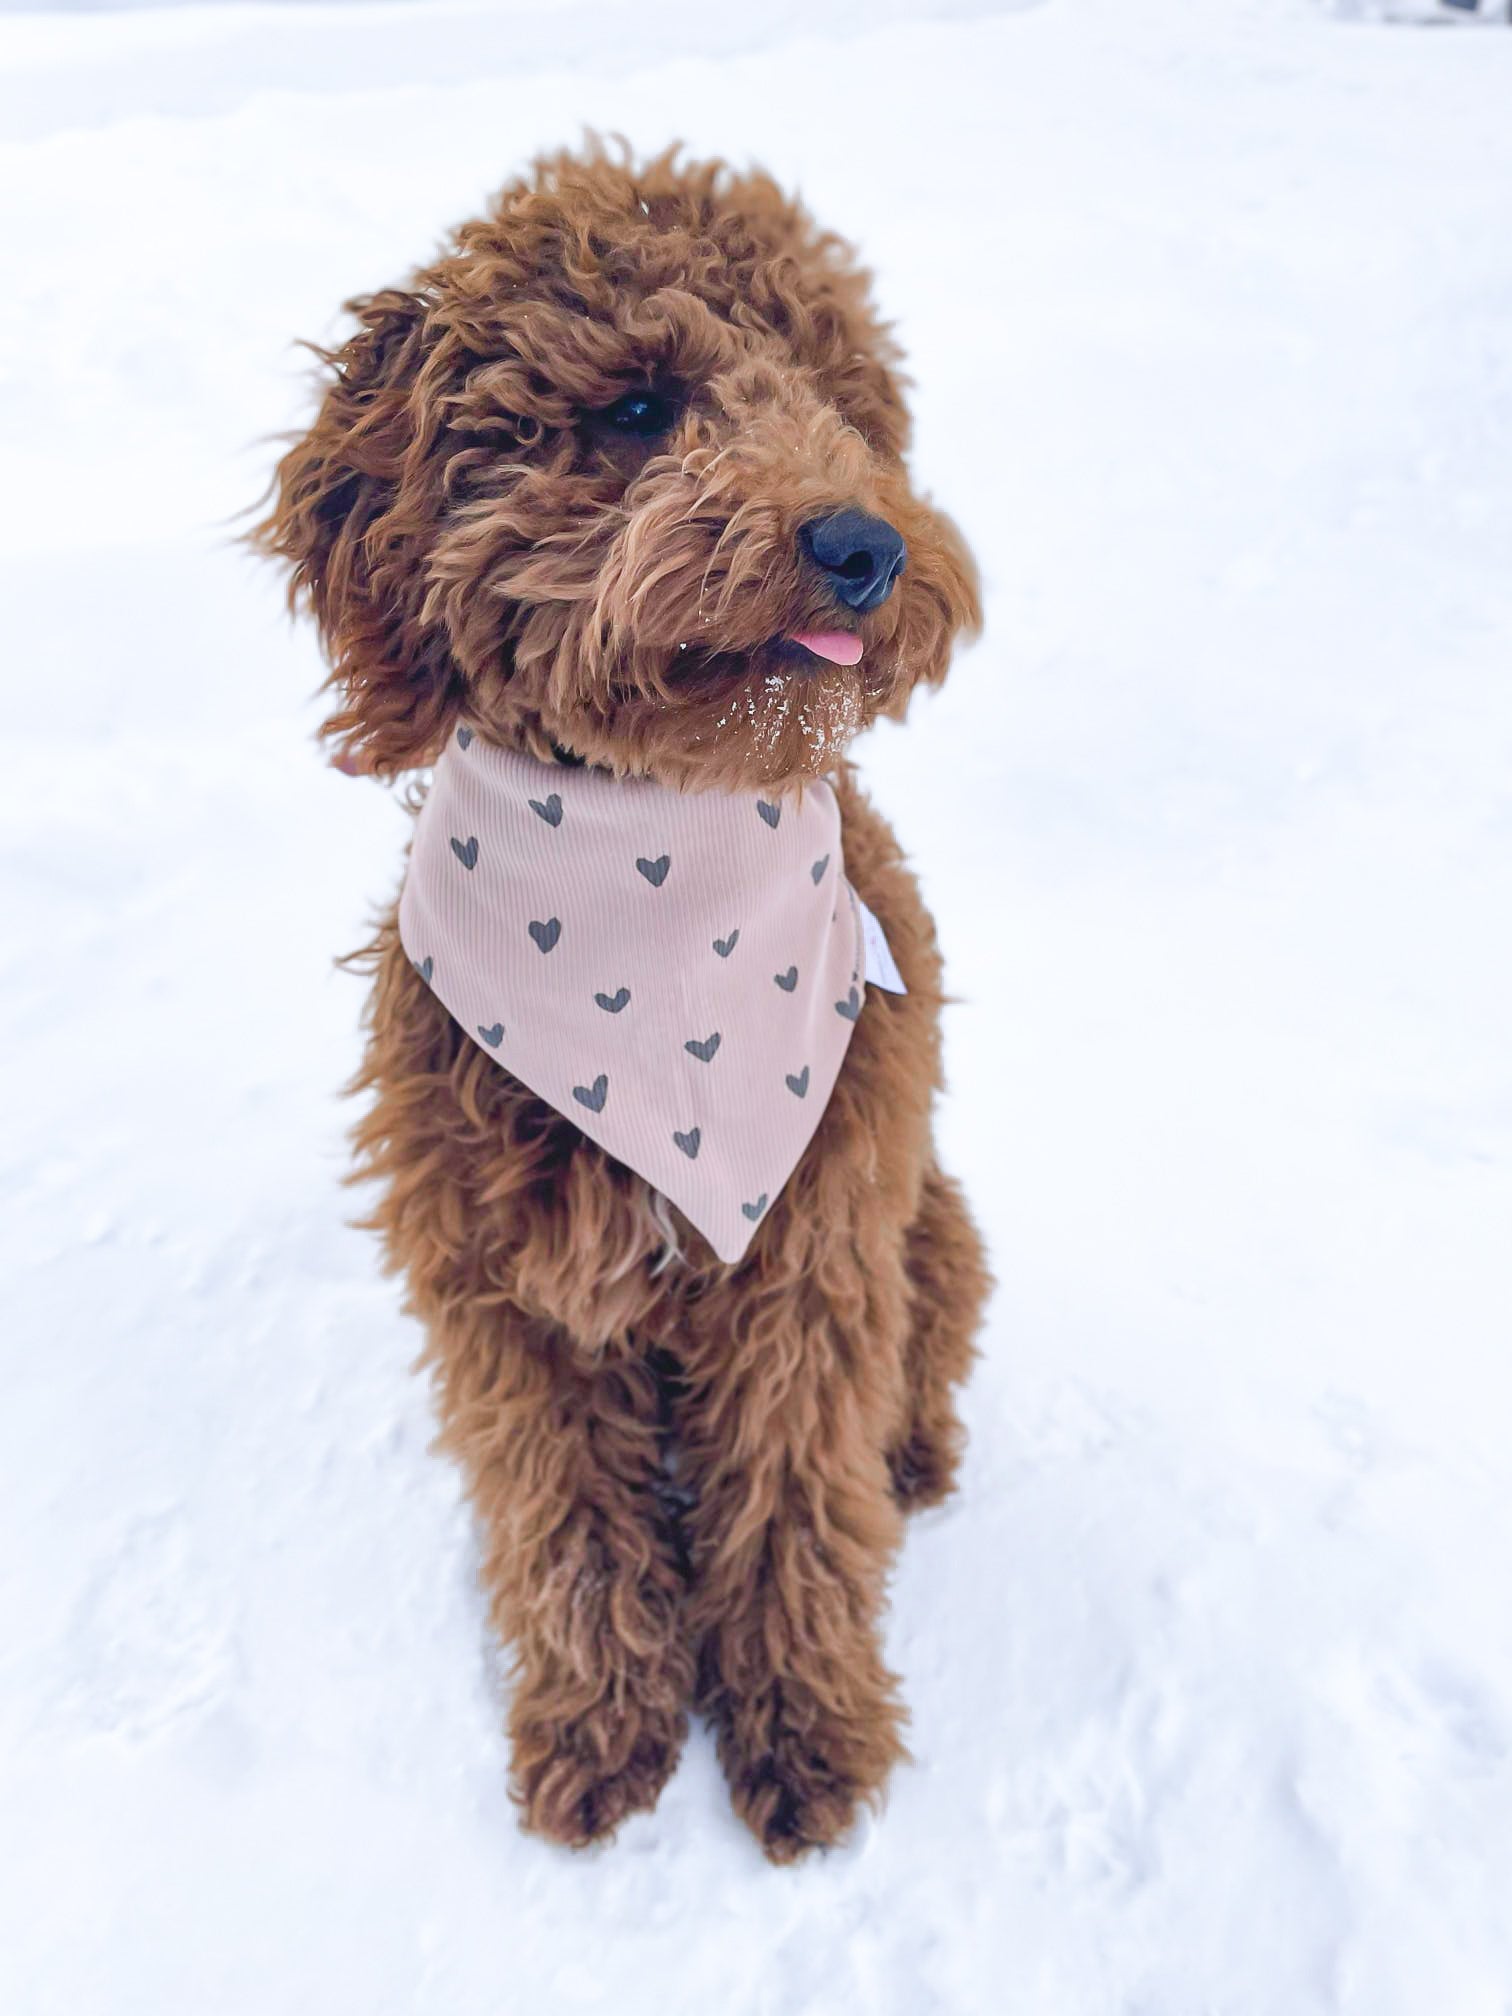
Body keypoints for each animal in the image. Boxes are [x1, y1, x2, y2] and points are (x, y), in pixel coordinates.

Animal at [258, 149, 995, 1862]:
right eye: (644, 408)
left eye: (838, 400)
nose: (863, 543)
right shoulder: (499, 1292)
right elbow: (570, 1520)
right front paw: (600, 1731)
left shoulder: (809, 1256)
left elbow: (793, 1502)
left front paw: (806, 1737)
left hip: (930, 1228)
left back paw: (916, 1461)